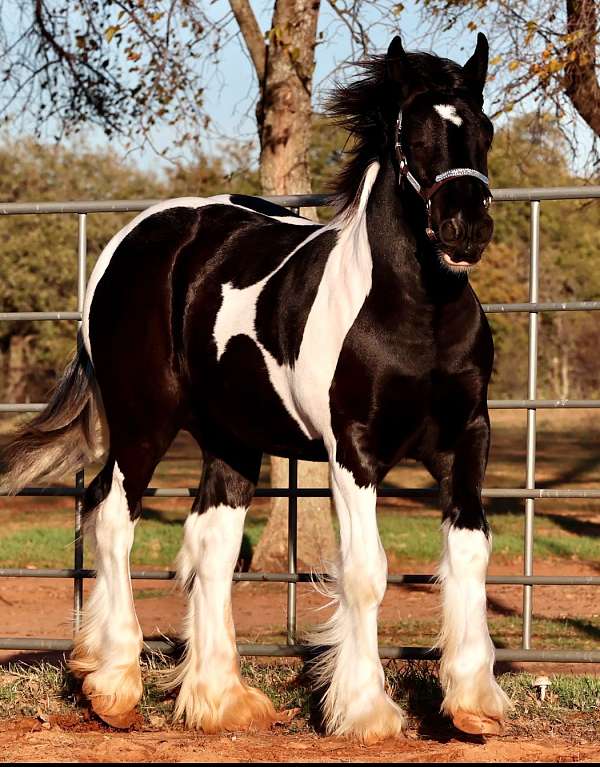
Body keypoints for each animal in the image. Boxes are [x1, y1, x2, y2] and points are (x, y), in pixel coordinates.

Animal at [0, 33, 508, 740]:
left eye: (483, 130)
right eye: (413, 135)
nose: (465, 228)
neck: (413, 317)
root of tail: (130, 241)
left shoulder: (466, 441)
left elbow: (469, 555)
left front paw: (473, 702)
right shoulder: (354, 452)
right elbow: (365, 573)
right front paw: (365, 710)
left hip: (230, 441)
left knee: (209, 547)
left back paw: (220, 698)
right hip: (144, 423)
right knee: (112, 517)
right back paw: (115, 684)